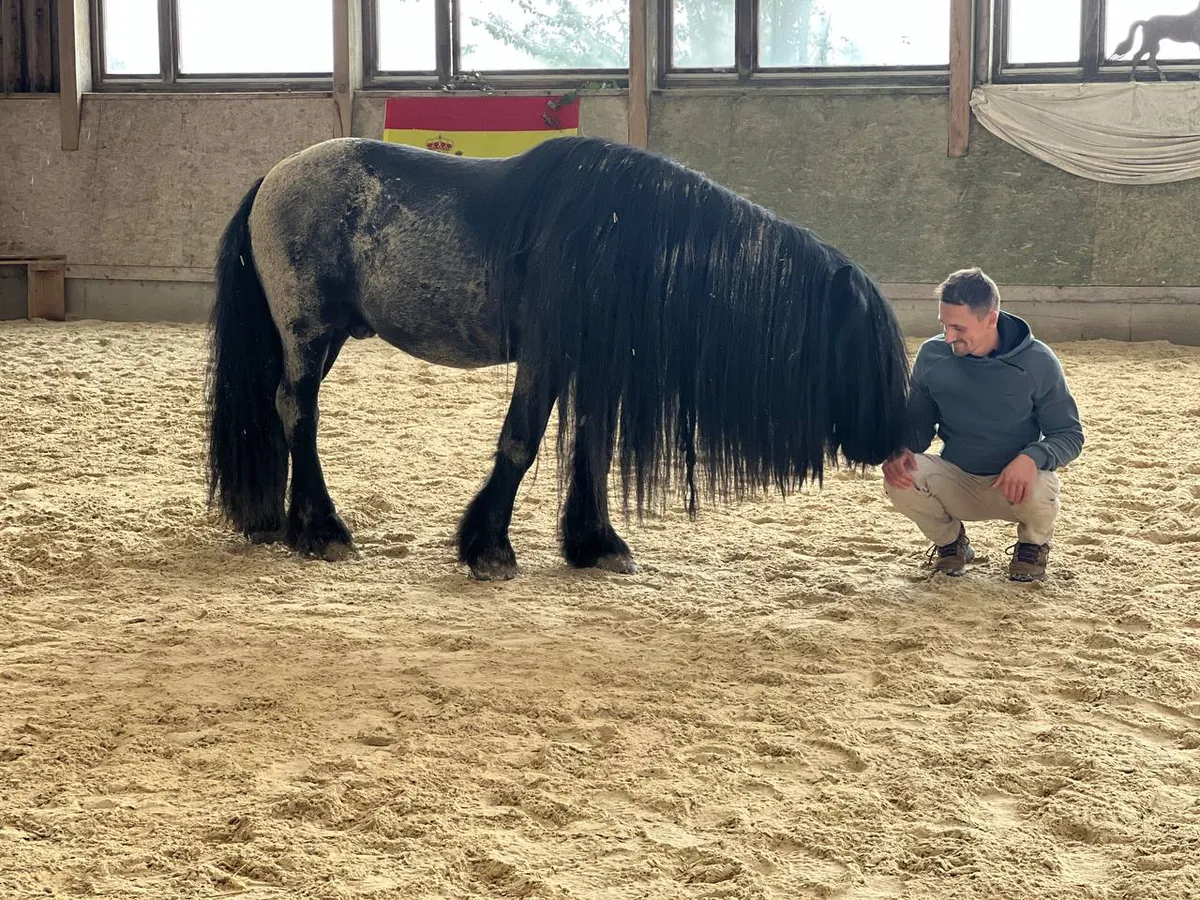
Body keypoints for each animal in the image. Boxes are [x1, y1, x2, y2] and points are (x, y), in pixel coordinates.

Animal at [204, 135, 911, 580]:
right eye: (865, 349)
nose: (892, 441)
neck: (617, 234)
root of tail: (273, 178)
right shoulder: (546, 356)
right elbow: (520, 442)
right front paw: (488, 547)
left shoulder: (592, 367)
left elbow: (592, 450)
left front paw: (594, 543)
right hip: (308, 333)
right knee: (299, 414)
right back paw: (322, 530)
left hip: (322, 340)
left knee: (279, 409)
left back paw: (282, 521)